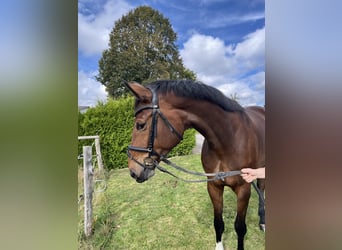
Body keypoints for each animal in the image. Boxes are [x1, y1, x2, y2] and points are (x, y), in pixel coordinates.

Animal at [125, 80, 264, 250]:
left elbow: (240, 227)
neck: (229, 140)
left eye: (140, 125)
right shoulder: (213, 186)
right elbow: (218, 222)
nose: (133, 171)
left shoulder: (244, 189)